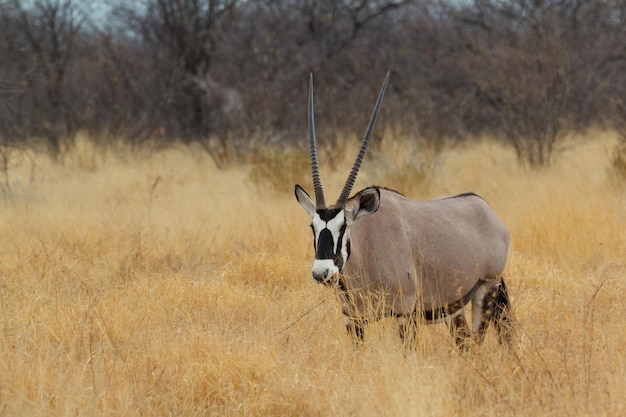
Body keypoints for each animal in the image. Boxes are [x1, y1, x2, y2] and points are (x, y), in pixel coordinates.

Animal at [294, 73, 510, 346]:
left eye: (343, 226)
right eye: (313, 226)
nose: (322, 273)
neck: (366, 249)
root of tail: (488, 211)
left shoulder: (405, 313)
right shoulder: (353, 320)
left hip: (486, 289)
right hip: (455, 306)